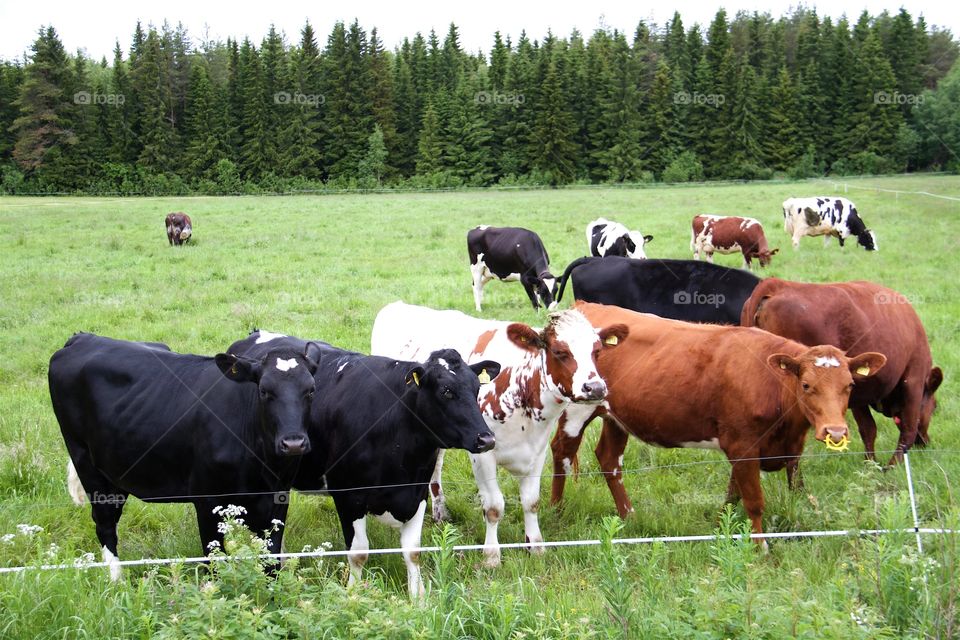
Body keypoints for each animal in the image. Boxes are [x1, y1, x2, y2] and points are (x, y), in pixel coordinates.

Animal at [48, 332, 321, 580]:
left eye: (310, 390)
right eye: (264, 391)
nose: (293, 443)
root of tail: (83, 337)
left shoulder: (277, 500)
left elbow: (271, 560)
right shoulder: (207, 502)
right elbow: (213, 561)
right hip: (85, 460)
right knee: (105, 522)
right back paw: (117, 582)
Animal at [227, 330, 500, 598]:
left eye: (477, 389)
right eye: (446, 391)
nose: (486, 439)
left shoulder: (418, 492)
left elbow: (413, 551)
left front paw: (418, 597)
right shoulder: (349, 496)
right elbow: (359, 552)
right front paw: (354, 595)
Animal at [371, 301, 628, 567]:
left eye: (597, 351)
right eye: (559, 351)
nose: (595, 388)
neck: (521, 384)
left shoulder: (538, 451)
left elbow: (531, 501)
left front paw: (536, 547)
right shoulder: (483, 451)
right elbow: (494, 506)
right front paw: (492, 556)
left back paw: (441, 512)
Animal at [548, 302, 886, 537]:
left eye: (850, 385)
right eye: (806, 385)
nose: (835, 431)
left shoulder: (759, 447)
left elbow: (736, 493)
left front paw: (723, 525)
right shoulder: (743, 443)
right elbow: (753, 500)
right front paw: (760, 548)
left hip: (616, 417)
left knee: (610, 460)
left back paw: (628, 515)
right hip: (577, 409)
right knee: (562, 453)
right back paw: (556, 512)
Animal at [741, 278, 943, 466]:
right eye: (933, 407)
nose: (925, 443)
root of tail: (777, 284)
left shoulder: (854, 390)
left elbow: (868, 429)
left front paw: (871, 464)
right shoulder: (913, 380)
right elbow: (907, 430)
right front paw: (892, 467)